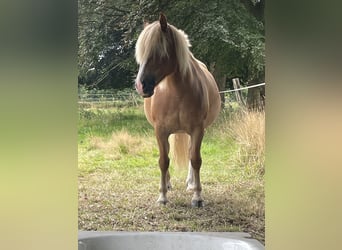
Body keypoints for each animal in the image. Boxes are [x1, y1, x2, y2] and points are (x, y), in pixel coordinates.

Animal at [135, 13, 220, 208]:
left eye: (158, 51)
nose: (140, 85)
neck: (176, 92)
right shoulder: (160, 131)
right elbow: (163, 161)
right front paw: (162, 196)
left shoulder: (197, 130)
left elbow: (195, 159)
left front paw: (197, 196)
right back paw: (168, 184)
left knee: (190, 154)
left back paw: (191, 183)